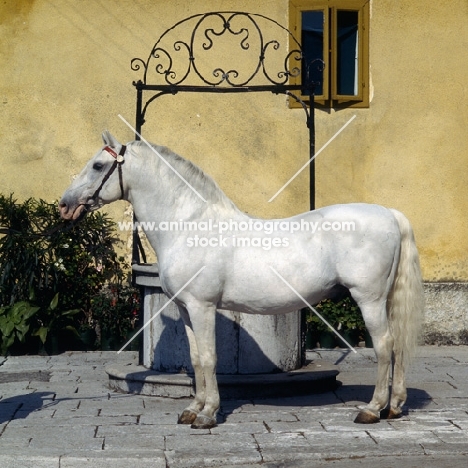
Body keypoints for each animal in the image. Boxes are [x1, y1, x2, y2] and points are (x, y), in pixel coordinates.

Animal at [58, 131, 424, 428]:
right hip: (383, 301)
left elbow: (209, 358)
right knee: (396, 346)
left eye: (97, 165)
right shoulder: (186, 309)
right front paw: (193, 409)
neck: (190, 225)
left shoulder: (203, 306)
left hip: (369, 300)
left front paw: (208, 415)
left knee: (385, 345)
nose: (64, 205)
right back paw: (394, 407)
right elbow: (195, 359)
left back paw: (372, 409)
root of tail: (388, 213)